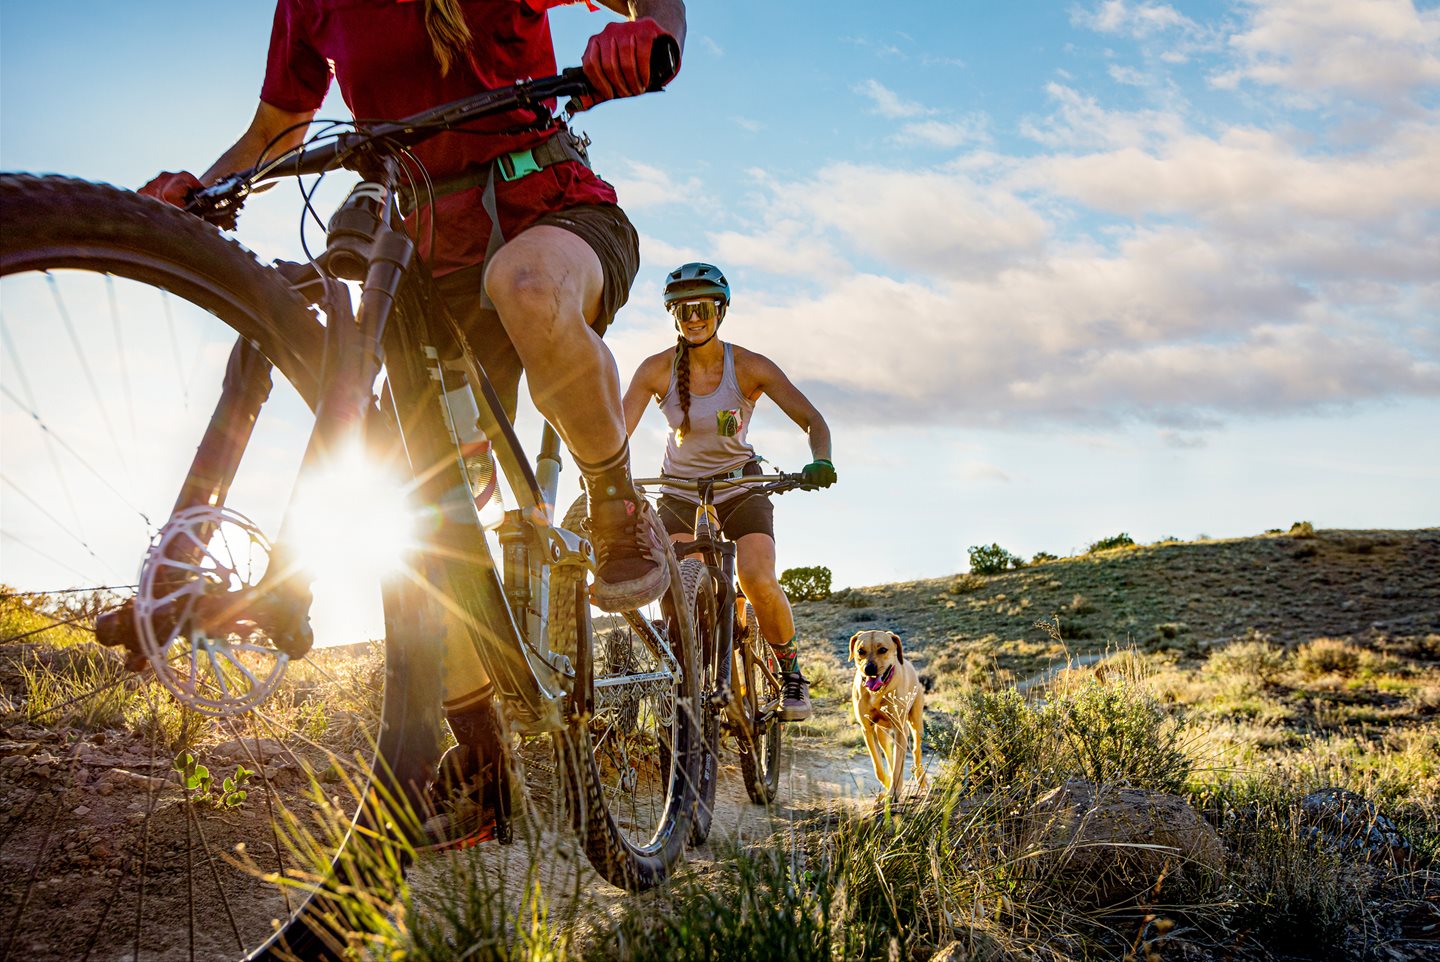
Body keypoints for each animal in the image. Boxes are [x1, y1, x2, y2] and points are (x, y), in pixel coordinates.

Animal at [846, 627, 927, 800]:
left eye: (883, 649)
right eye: (860, 651)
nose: (869, 668)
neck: (878, 692)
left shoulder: (900, 729)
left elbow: (898, 765)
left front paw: (894, 792)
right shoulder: (867, 729)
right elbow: (878, 764)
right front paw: (888, 786)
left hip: (915, 722)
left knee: (915, 751)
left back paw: (922, 780)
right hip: (881, 732)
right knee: (889, 756)